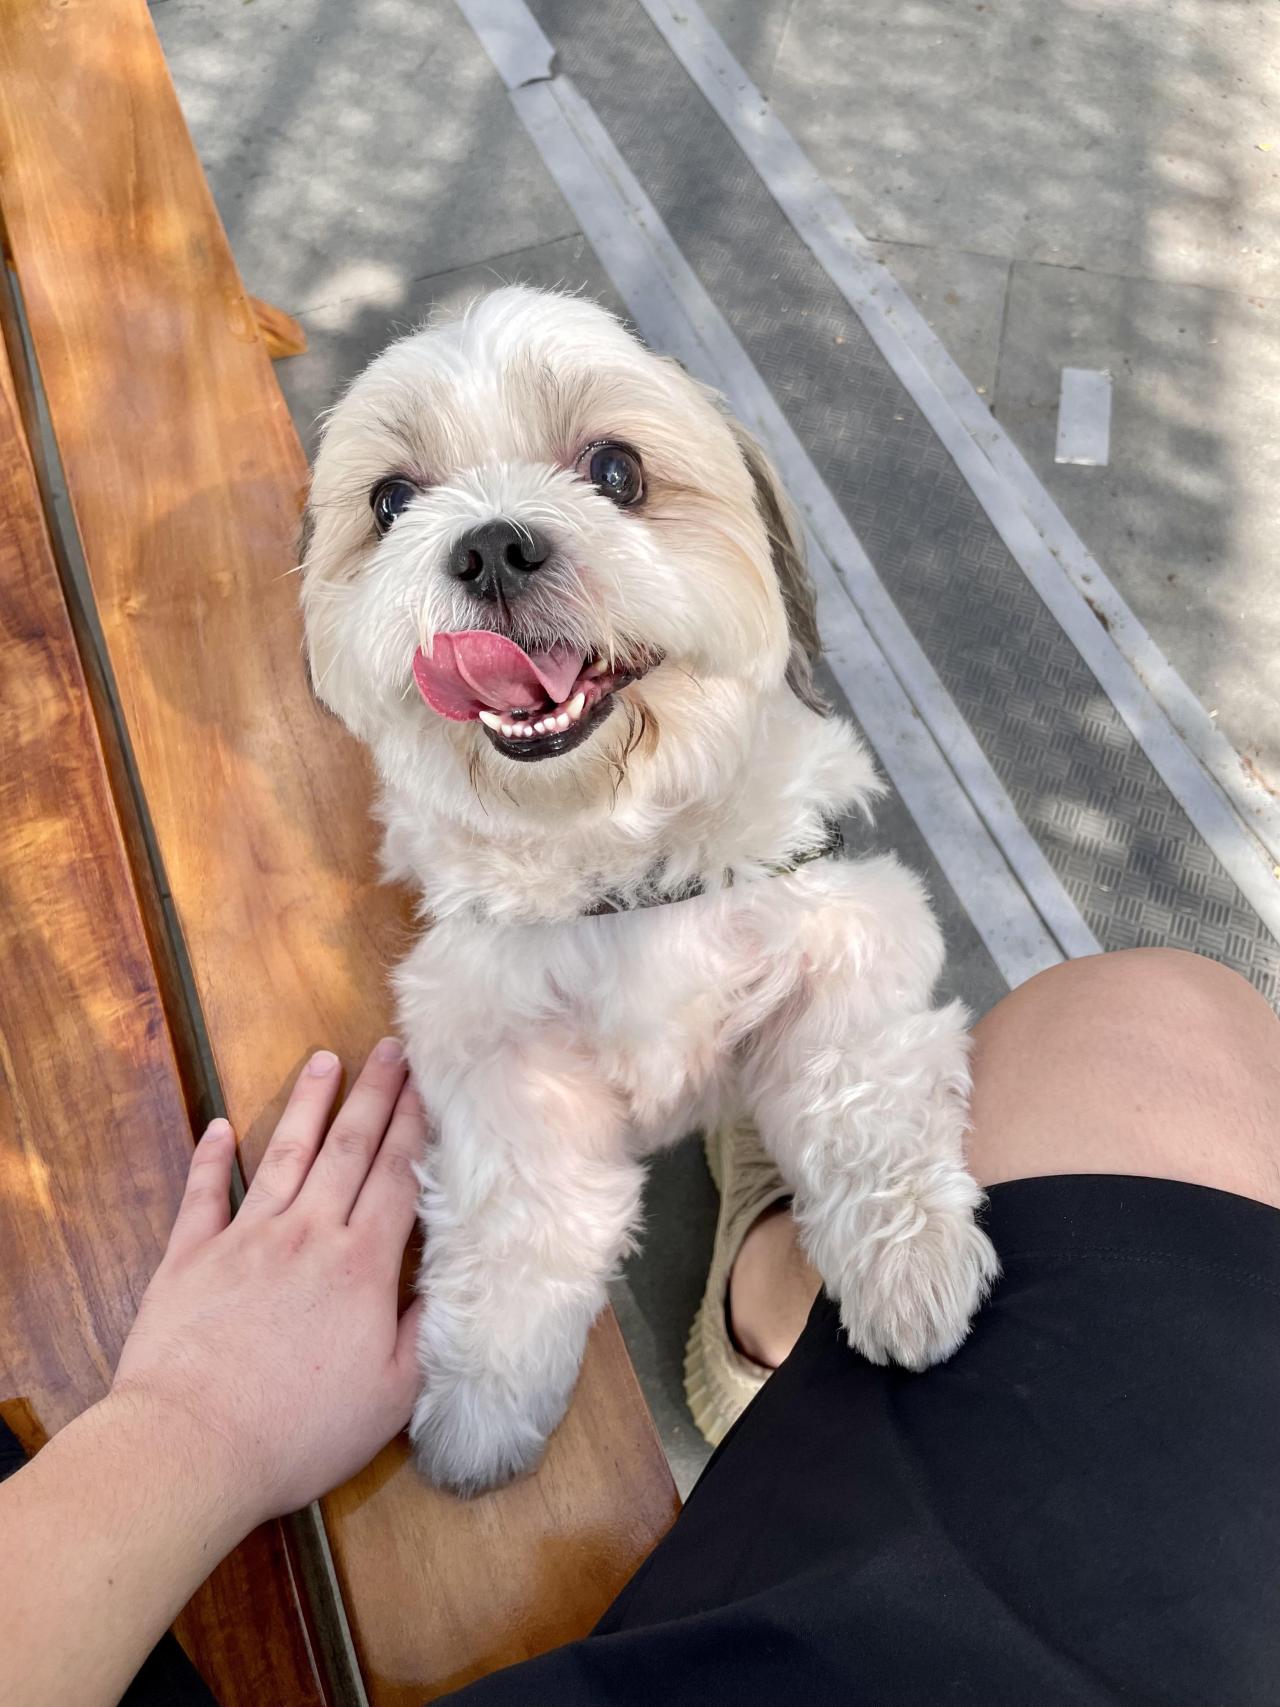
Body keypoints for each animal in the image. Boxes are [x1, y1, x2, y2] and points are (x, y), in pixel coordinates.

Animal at [303, 286, 1003, 1488]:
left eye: (616, 469)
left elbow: (859, 1088)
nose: (489, 544)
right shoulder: (498, 1044)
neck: (618, 853)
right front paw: (484, 1398)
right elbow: (526, 1216)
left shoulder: (848, 923)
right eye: (390, 501)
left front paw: (908, 1269)